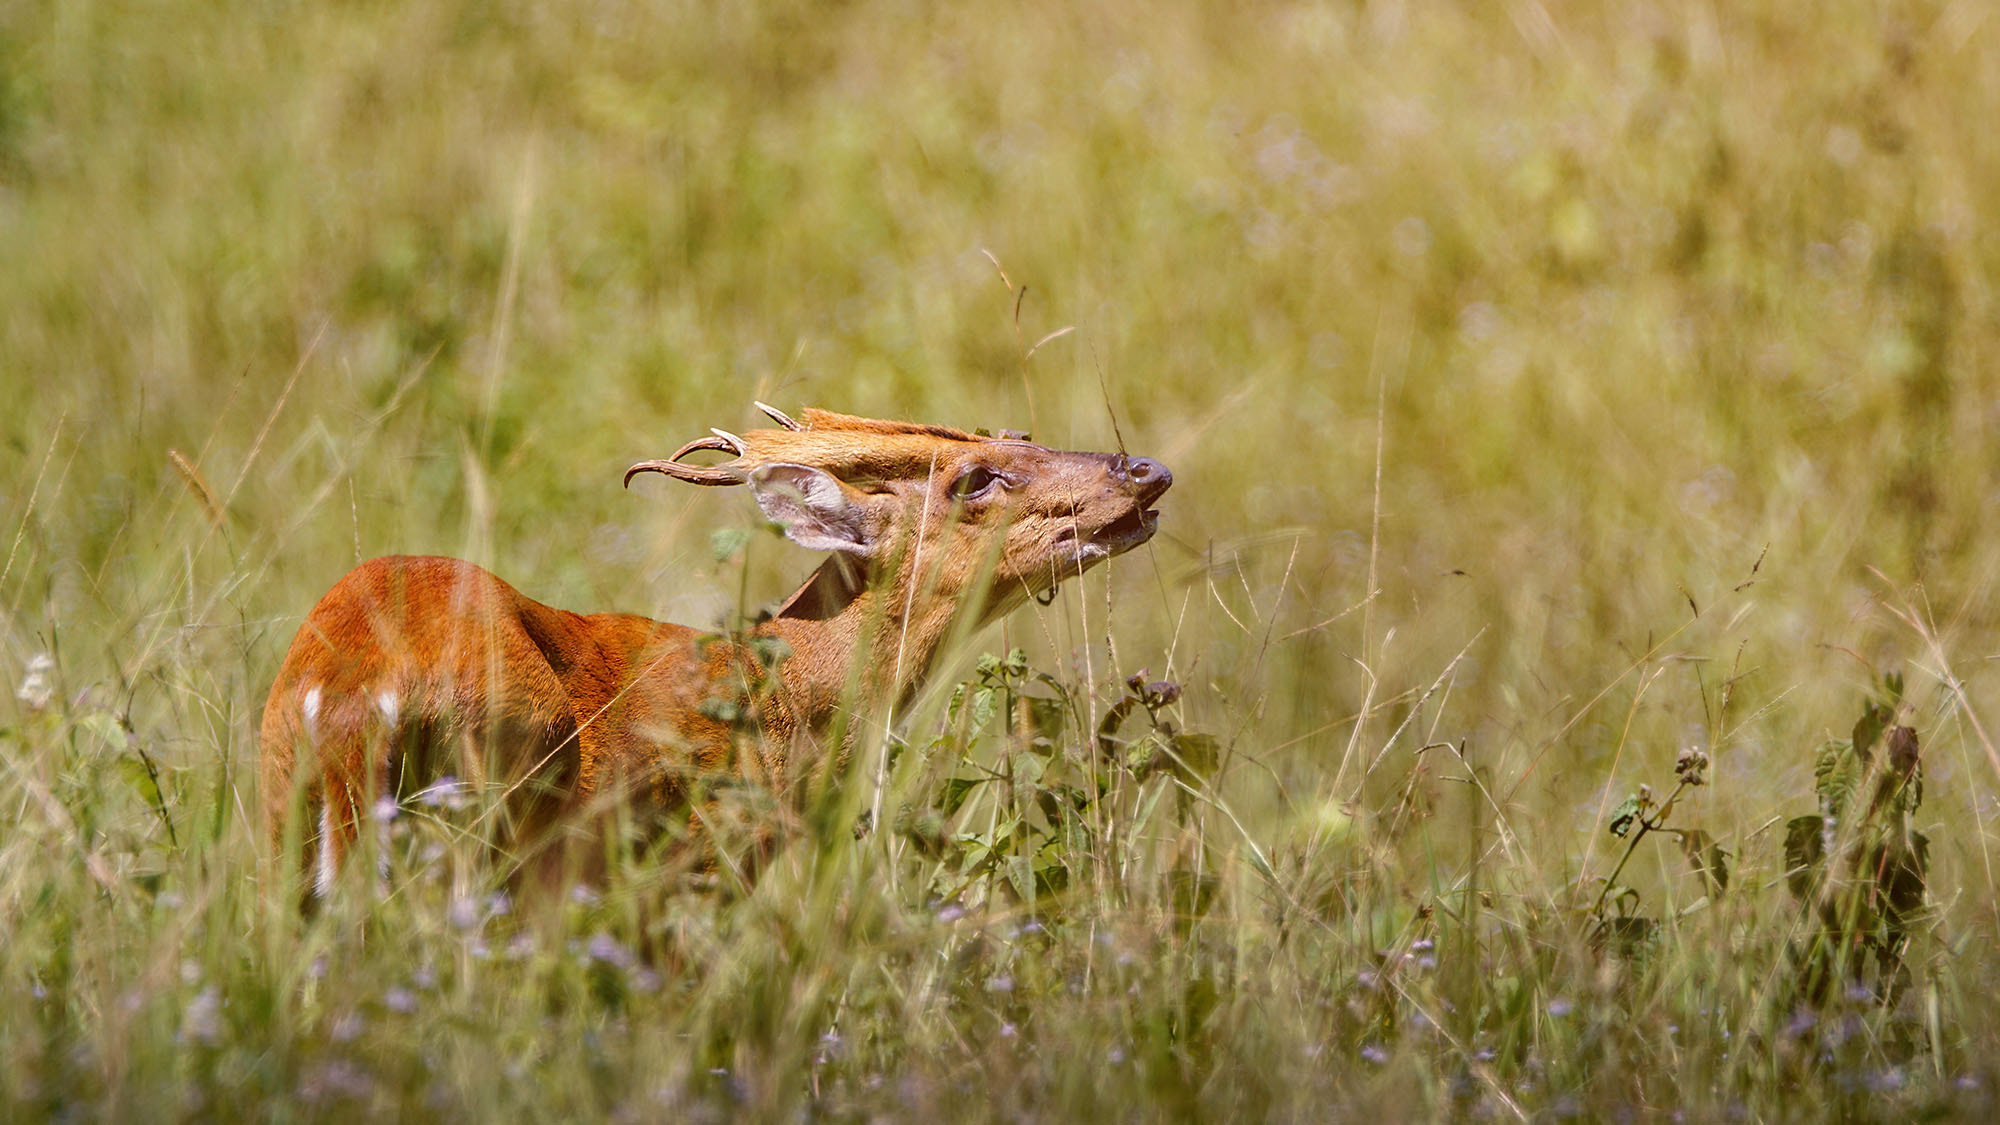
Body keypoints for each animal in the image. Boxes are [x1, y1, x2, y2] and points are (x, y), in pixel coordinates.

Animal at [262, 404, 1168, 892]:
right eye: (974, 478)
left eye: (1026, 436)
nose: (1145, 470)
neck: (784, 702)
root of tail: (353, 693)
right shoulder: (695, 865)